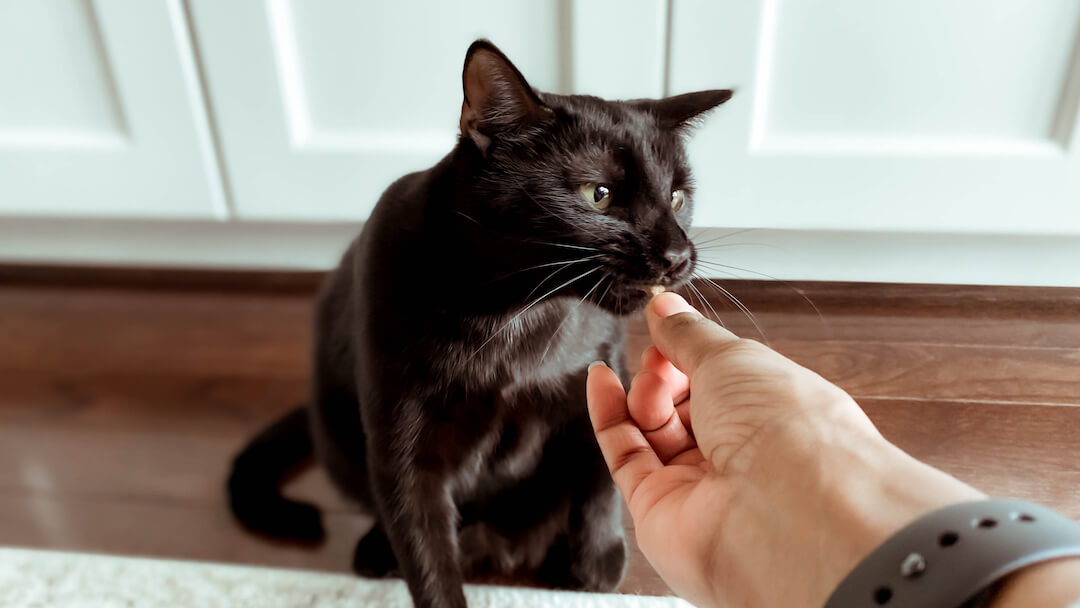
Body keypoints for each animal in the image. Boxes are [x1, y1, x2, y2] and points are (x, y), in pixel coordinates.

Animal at [230, 39, 734, 608]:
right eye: (598, 194)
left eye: (677, 197)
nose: (678, 256)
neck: (516, 315)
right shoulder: (404, 446)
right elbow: (425, 553)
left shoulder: (601, 369)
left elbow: (600, 473)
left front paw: (595, 562)